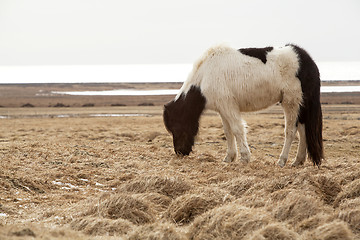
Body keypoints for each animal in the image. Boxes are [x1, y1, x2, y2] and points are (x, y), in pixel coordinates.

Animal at [163, 44, 324, 167]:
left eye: (176, 127)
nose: (180, 152)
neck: (205, 76)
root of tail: (305, 59)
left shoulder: (229, 107)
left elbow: (237, 129)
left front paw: (245, 158)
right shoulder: (223, 109)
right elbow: (228, 132)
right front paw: (229, 158)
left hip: (291, 102)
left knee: (291, 131)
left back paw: (282, 161)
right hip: (300, 105)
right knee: (303, 129)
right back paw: (298, 161)